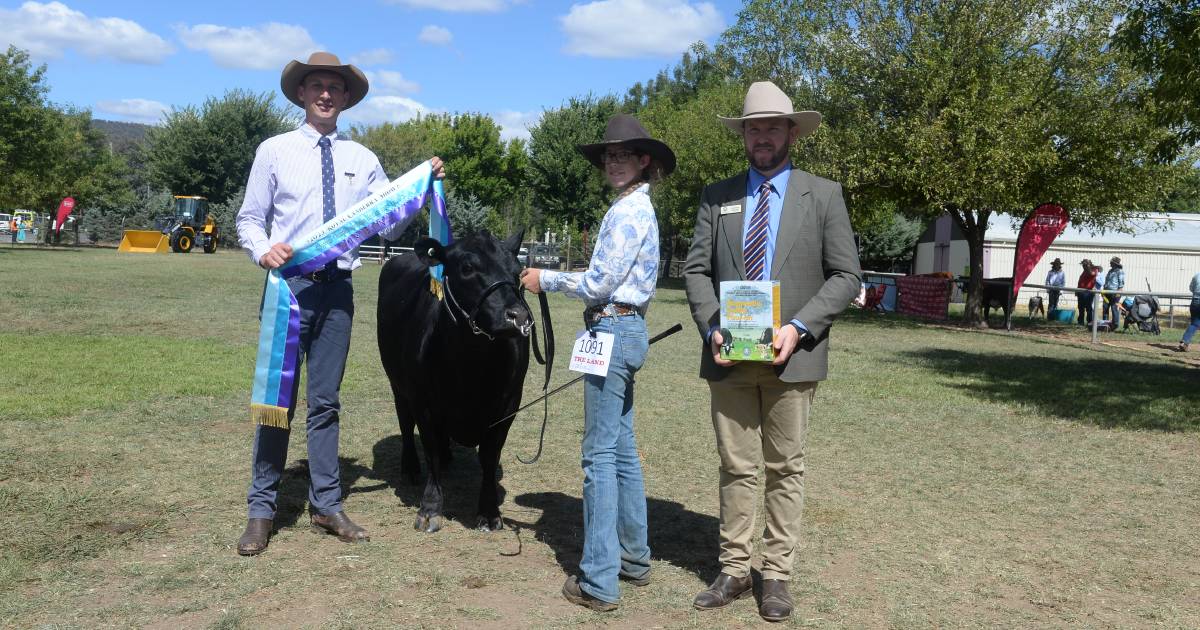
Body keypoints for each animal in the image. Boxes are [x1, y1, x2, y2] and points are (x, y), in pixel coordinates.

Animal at [376, 230, 532, 530]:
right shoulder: (423, 401)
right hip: (397, 383)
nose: (517, 317)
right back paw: (410, 468)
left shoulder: (509, 405)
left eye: (518, 271)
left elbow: (489, 456)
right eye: (467, 267)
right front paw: (430, 507)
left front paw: (489, 511)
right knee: (405, 424)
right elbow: (431, 450)